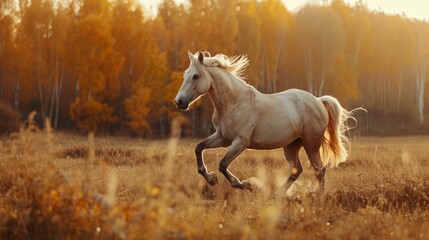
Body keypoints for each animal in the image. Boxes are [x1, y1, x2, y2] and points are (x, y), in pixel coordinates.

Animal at [173, 51, 354, 194]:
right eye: (185, 75)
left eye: (195, 76)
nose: (179, 102)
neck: (235, 102)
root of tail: (318, 100)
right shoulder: (223, 138)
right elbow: (199, 148)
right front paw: (211, 179)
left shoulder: (240, 142)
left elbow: (223, 165)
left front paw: (245, 185)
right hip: (292, 146)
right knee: (297, 170)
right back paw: (277, 195)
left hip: (311, 144)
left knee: (319, 170)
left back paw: (320, 197)